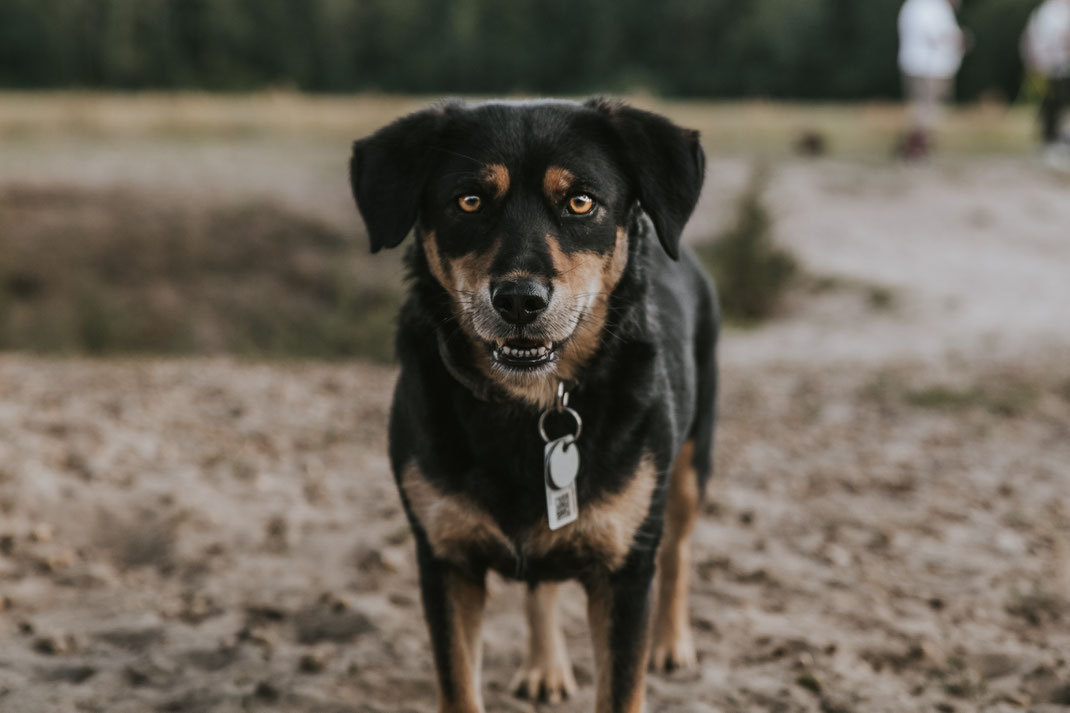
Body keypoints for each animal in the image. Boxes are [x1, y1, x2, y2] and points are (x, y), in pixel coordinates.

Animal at [350, 98, 719, 710]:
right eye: (469, 200)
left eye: (581, 201)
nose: (520, 301)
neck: (531, 403)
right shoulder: (445, 560)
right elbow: (459, 687)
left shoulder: (624, 571)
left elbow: (622, 686)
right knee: (540, 583)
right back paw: (545, 668)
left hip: (692, 461)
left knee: (680, 549)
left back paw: (672, 643)